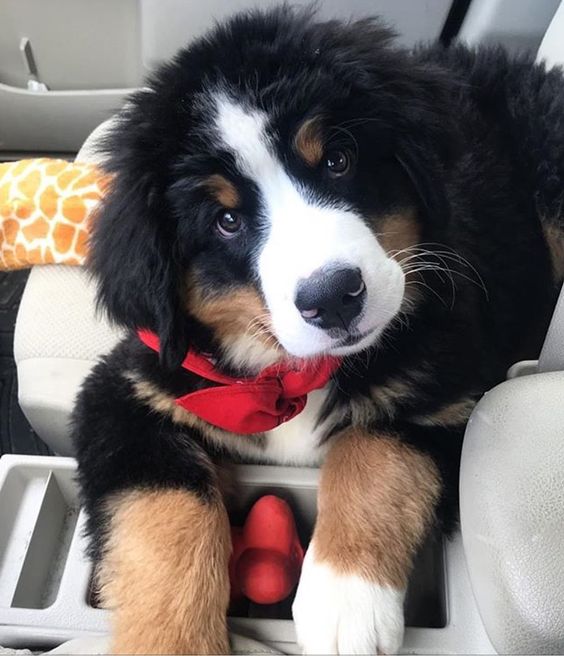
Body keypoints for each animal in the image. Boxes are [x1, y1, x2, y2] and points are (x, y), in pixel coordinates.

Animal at [70, 6, 564, 656]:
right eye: (226, 221)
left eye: (337, 161)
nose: (333, 297)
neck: (290, 374)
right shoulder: (130, 394)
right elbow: (167, 515)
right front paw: (174, 642)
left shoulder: (453, 393)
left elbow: (374, 451)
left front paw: (345, 600)